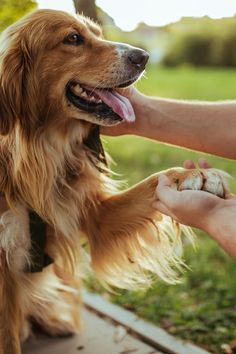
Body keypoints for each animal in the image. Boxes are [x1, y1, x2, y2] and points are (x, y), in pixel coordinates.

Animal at [0, 9, 229, 354]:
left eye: (97, 33)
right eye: (73, 38)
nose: (143, 57)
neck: (37, 152)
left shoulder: (94, 214)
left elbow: (154, 181)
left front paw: (195, 176)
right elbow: (7, 338)